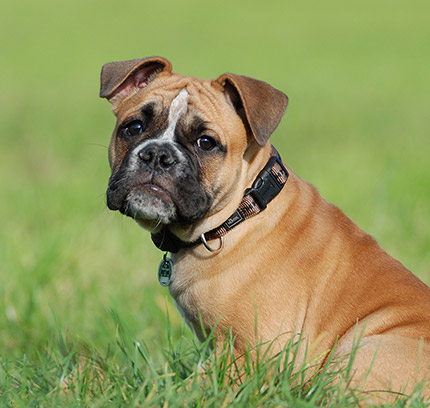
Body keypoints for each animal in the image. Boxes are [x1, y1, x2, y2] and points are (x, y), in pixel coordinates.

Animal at [100, 55, 430, 396]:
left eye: (206, 143)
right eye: (134, 127)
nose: (157, 155)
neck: (241, 211)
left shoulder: (247, 352)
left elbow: (187, 387)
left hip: (359, 351)